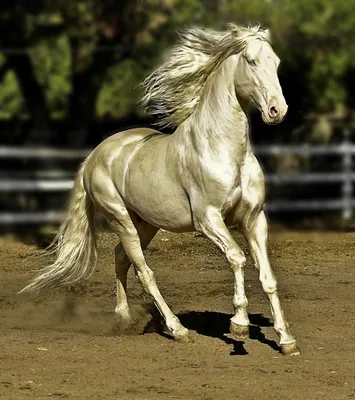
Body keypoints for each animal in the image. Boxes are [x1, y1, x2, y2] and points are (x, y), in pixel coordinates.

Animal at [20, 24, 300, 356]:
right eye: (252, 61)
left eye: (277, 62)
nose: (277, 110)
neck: (226, 152)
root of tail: (94, 155)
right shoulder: (208, 220)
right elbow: (237, 258)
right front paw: (239, 325)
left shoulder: (254, 219)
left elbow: (267, 277)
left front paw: (286, 340)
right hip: (120, 218)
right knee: (144, 271)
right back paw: (178, 329)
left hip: (146, 223)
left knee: (120, 258)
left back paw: (124, 318)